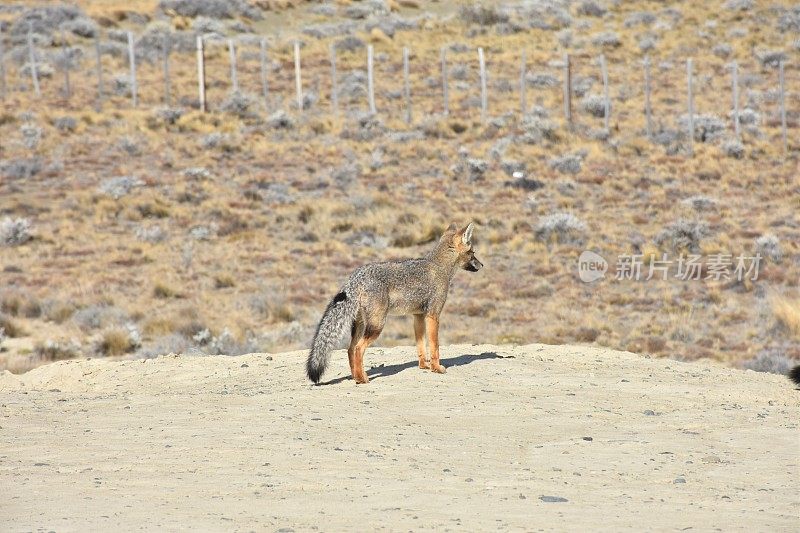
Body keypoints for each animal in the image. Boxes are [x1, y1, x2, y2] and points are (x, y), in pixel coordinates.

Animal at [304, 222, 482, 384]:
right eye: (472, 253)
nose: (482, 265)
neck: (439, 266)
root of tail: (356, 276)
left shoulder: (418, 316)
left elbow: (420, 345)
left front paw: (423, 366)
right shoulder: (433, 315)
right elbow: (434, 346)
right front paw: (437, 368)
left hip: (361, 325)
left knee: (350, 349)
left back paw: (356, 376)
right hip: (377, 326)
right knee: (358, 348)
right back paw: (363, 379)